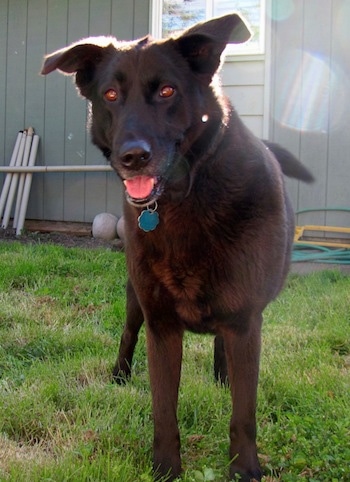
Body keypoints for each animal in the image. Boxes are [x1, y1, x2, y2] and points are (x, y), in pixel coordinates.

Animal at [42, 13, 314, 480]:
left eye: (167, 90)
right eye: (110, 95)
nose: (132, 157)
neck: (185, 197)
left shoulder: (245, 322)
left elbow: (243, 412)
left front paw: (245, 469)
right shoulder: (162, 325)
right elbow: (163, 408)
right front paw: (166, 468)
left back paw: (222, 376)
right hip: (135, 297)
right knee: (127, 333)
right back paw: (120, 374)